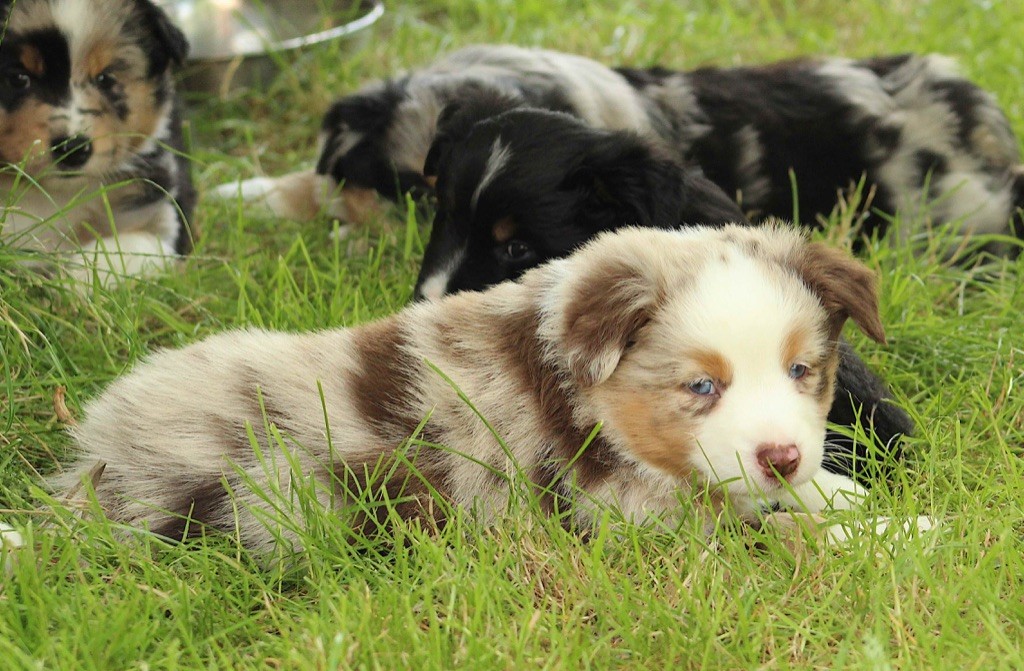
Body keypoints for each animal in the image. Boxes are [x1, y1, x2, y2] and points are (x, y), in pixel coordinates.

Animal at [0, 0, 196, 283]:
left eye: (106, 78)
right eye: (18, 78)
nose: (72, 149)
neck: (57, 195)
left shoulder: (164, 224)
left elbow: (111, 253)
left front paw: (75, 283)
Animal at [29, 224, 921, 554]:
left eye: (803, 370)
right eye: (701, 385)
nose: (782, 455)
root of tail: (88, 465)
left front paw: (843, 492)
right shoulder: (623, 516)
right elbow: (771, 534)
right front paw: (909, 529)